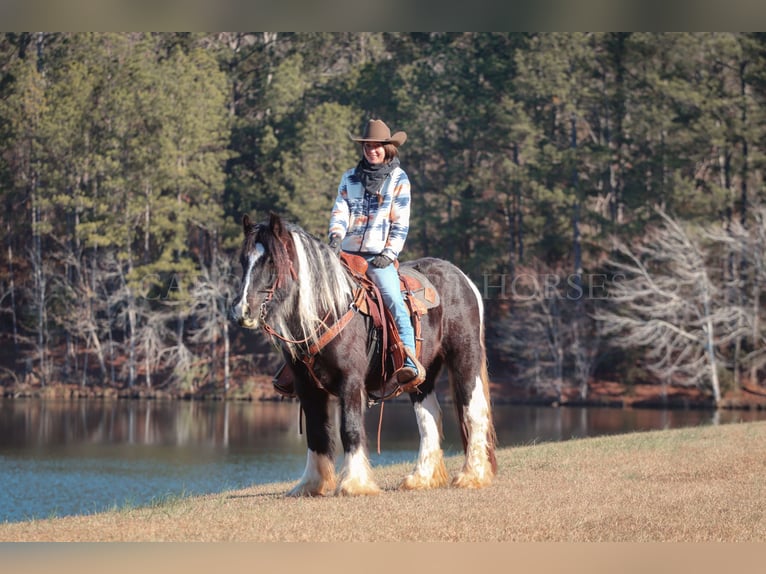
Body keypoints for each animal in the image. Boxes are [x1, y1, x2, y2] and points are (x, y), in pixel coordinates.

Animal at [230, 214, 498, 498]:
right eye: (244, 261)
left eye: (271, 261)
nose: (242, 311)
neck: (329, 310)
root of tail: (462, 279)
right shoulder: (307, 387)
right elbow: (316, 432)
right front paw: (311, 484)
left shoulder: (350, 381)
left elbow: (350, 428)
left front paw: (355, 483)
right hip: (422, 376)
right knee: (429, 416)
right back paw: (421, 478)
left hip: (465, 357)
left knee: (473, 412)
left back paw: (472, 475)